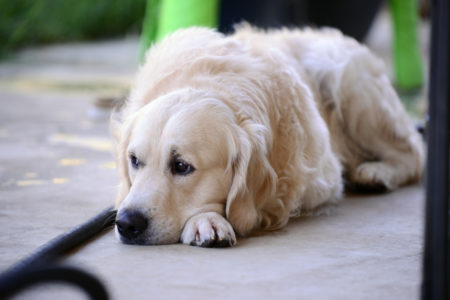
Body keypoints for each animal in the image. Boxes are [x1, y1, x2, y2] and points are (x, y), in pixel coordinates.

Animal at [110, 24, 424, 247]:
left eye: (181, 166)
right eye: (134, 161)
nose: (126, 223)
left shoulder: (323, 178)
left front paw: (205, 220)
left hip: (345, 82)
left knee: (414, 154)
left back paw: (377, 172)